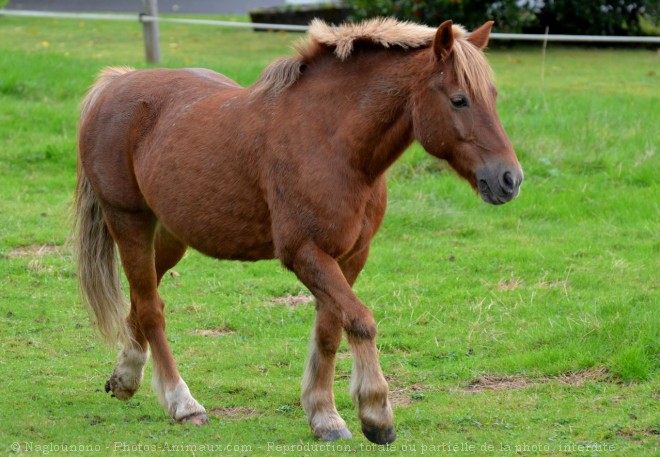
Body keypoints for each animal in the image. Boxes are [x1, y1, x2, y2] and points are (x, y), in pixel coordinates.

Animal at [75, 17, 524, 442]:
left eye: (493, 97)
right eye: (459, 99)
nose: (509, 179)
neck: (332, 142)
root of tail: (116, 83)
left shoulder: (349, 257)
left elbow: (330, 331)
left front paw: (324, 415)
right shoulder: (305, 254)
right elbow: (360, 320)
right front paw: (375, 413)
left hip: (171, 236)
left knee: (142, 299)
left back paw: (126, 377)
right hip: (128, 221)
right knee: (150, 308)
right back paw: (182, 402)